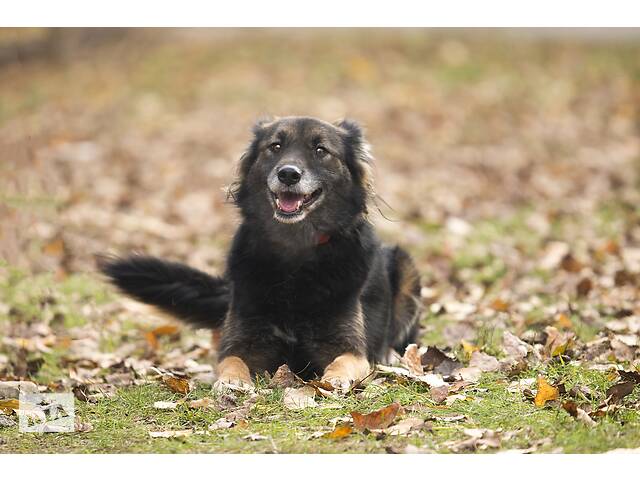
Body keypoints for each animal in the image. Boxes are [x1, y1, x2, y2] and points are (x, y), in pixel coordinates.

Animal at [99, 115, 420, 390]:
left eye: (320, 150)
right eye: (275, 147)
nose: (288, 174)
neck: (296, 256)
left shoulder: (348, 347)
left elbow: (345, 362)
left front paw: (335, 380)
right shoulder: (247, 340)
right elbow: (232, 361)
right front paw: (231, 381)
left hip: (406, 267)